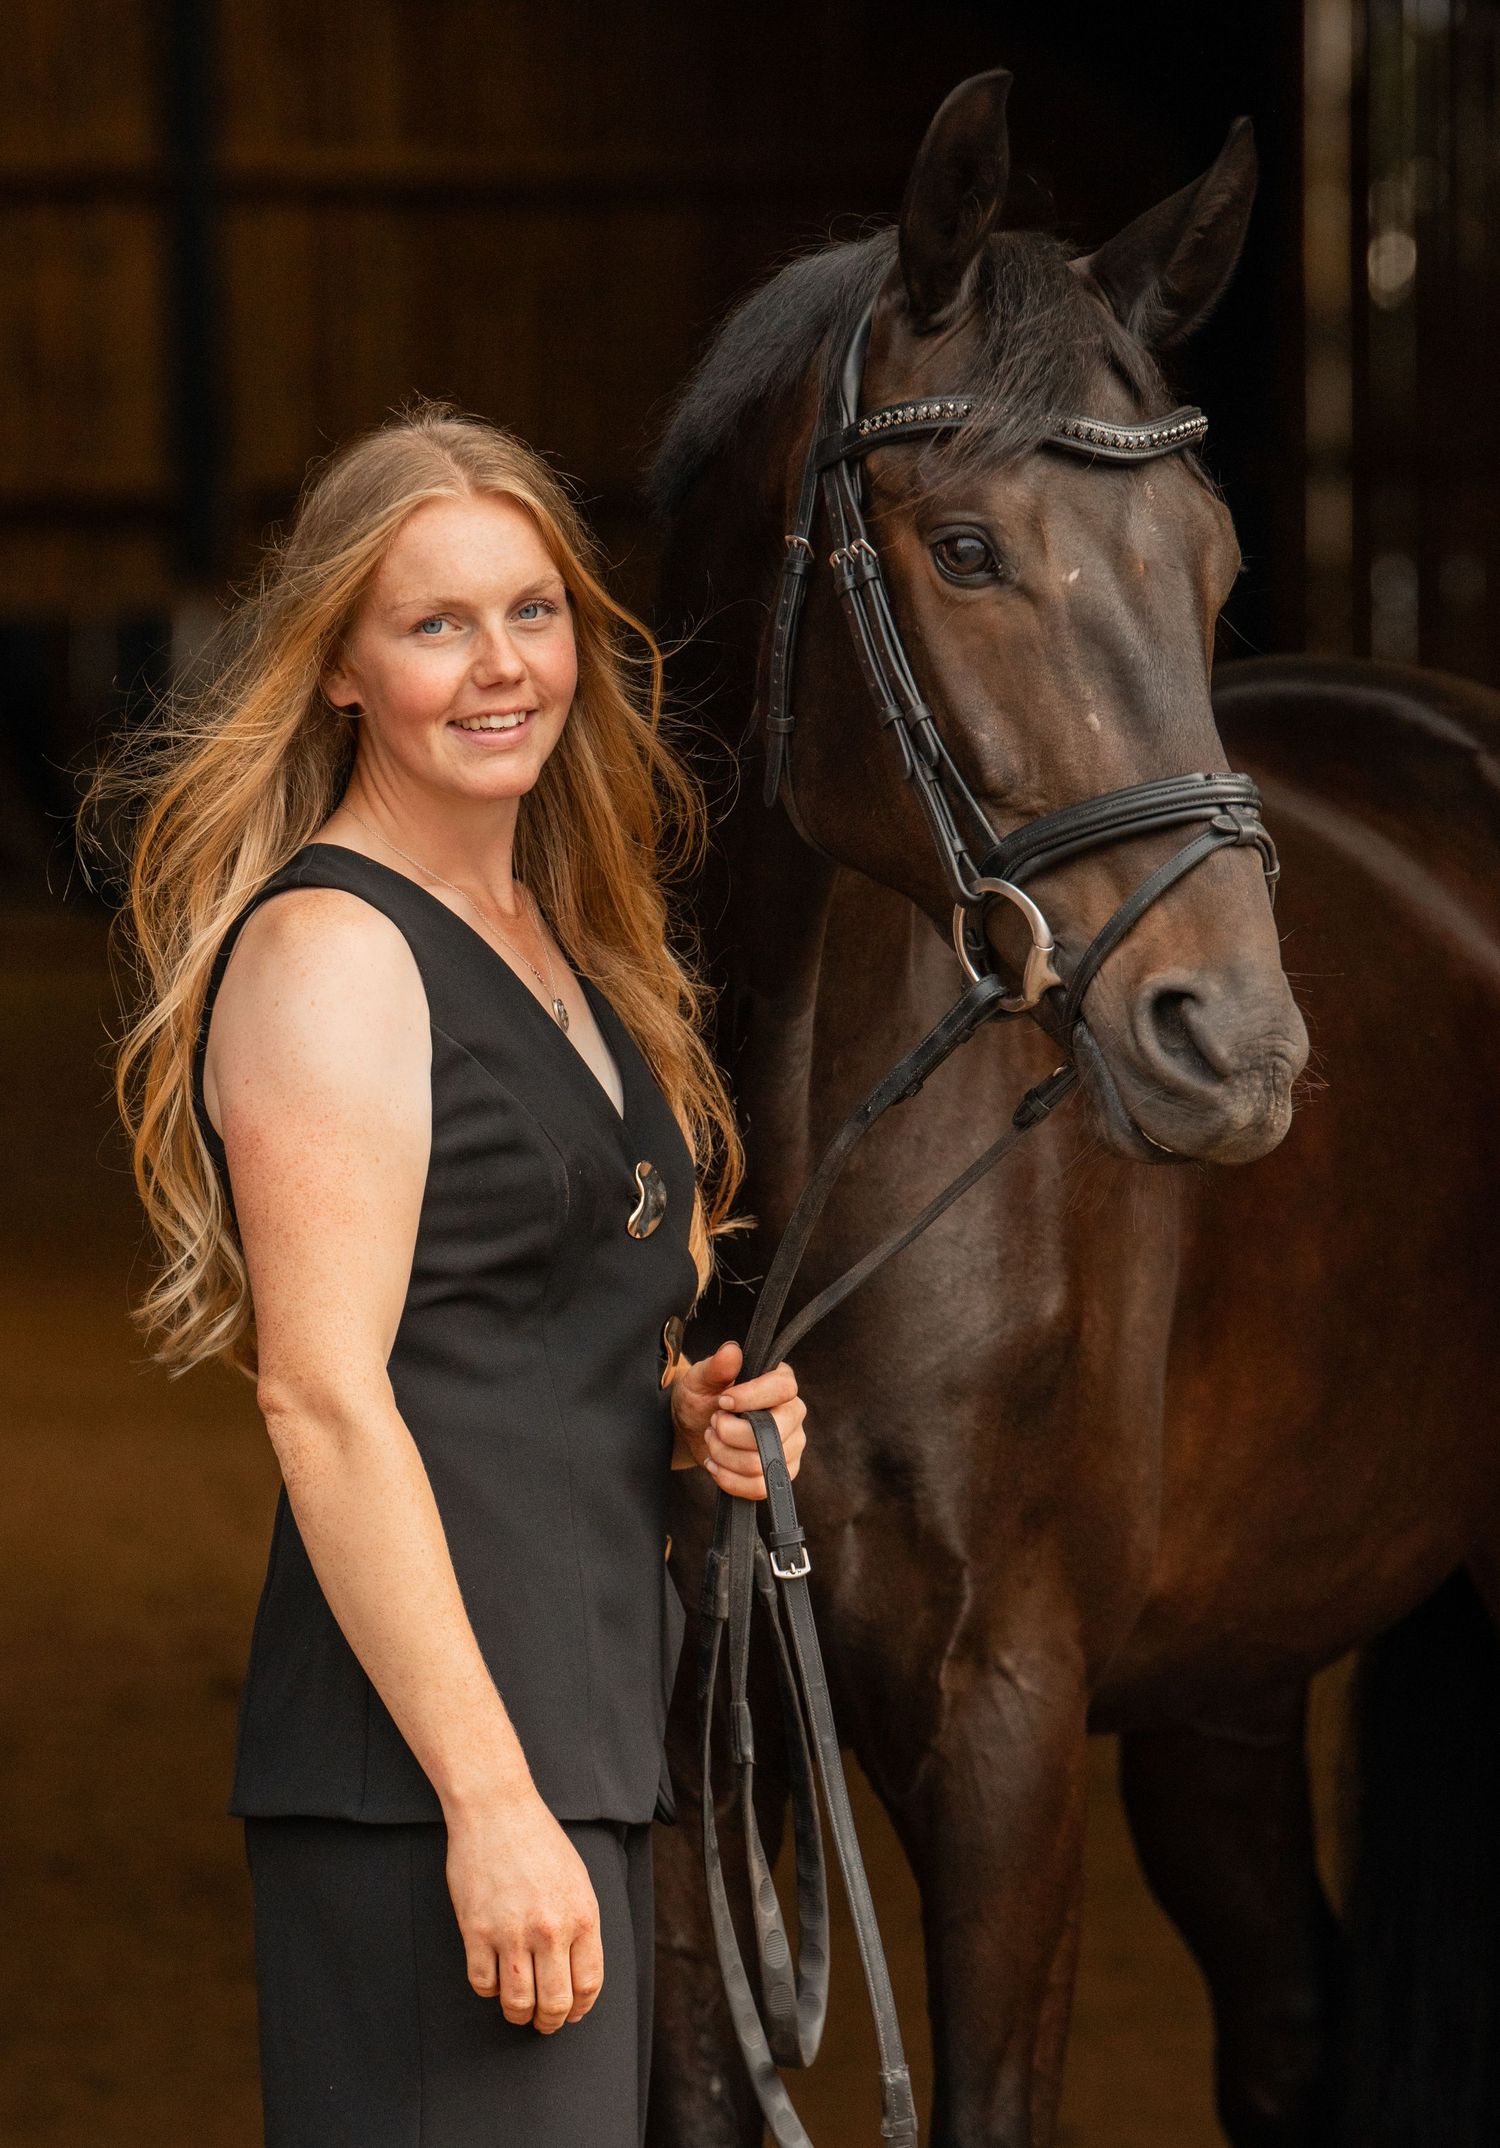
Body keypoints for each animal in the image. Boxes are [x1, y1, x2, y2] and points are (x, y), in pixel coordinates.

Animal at [644, 69, 1500, 2148]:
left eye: (1215, 564)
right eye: (963, 549)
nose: (1234, 1043)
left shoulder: (1007, 1726)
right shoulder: (689, 1771)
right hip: (1225, 1686)